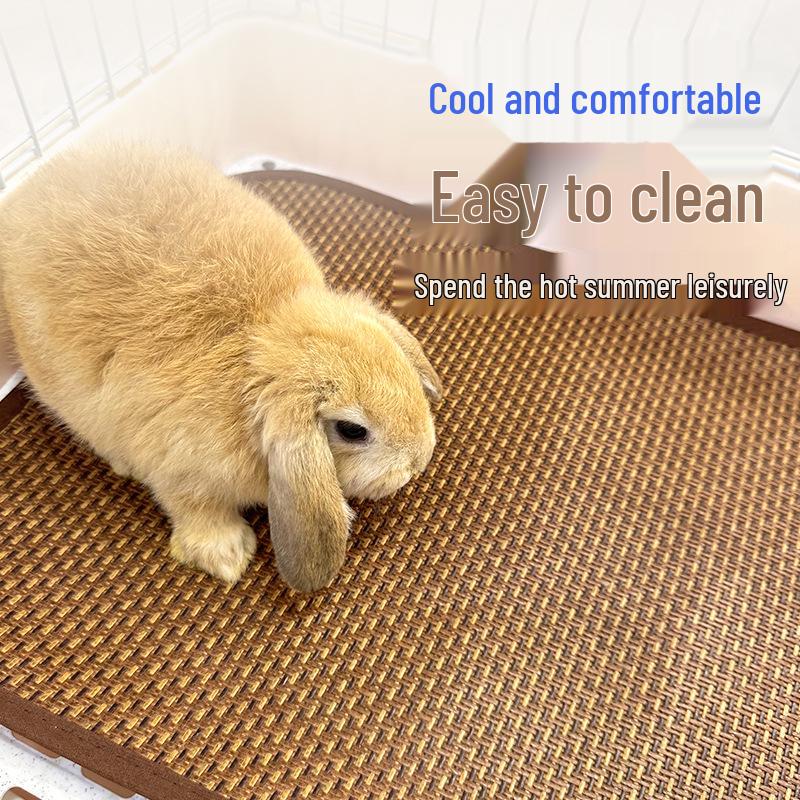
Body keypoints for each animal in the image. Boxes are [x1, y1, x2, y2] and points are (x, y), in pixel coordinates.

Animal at [0, 142, 441, 592]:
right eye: (352, 430)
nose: (418, 461)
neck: (263, 338)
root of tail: (25, 195)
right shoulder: (179, 473)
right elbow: (195, 510)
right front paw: (228, 557)